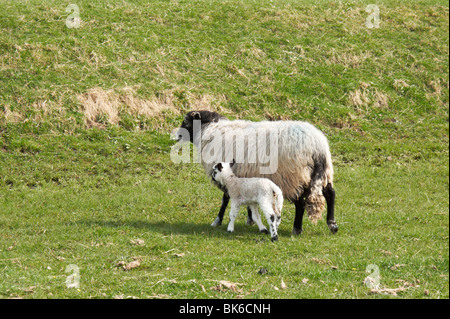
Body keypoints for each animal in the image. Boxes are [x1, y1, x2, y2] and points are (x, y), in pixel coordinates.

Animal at [176, 111, 338, 236]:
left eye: (186, 121)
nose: (177, 135)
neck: (210, 130)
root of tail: (317, 146)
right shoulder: (245, 174)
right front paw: (250, 220)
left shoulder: (226, 172)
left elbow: (225, 199)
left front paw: (217, 220)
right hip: (324, 172)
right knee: (330, 194)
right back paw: (332, 224)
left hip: (292, 177)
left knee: (301, 203)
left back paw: (297, 228)